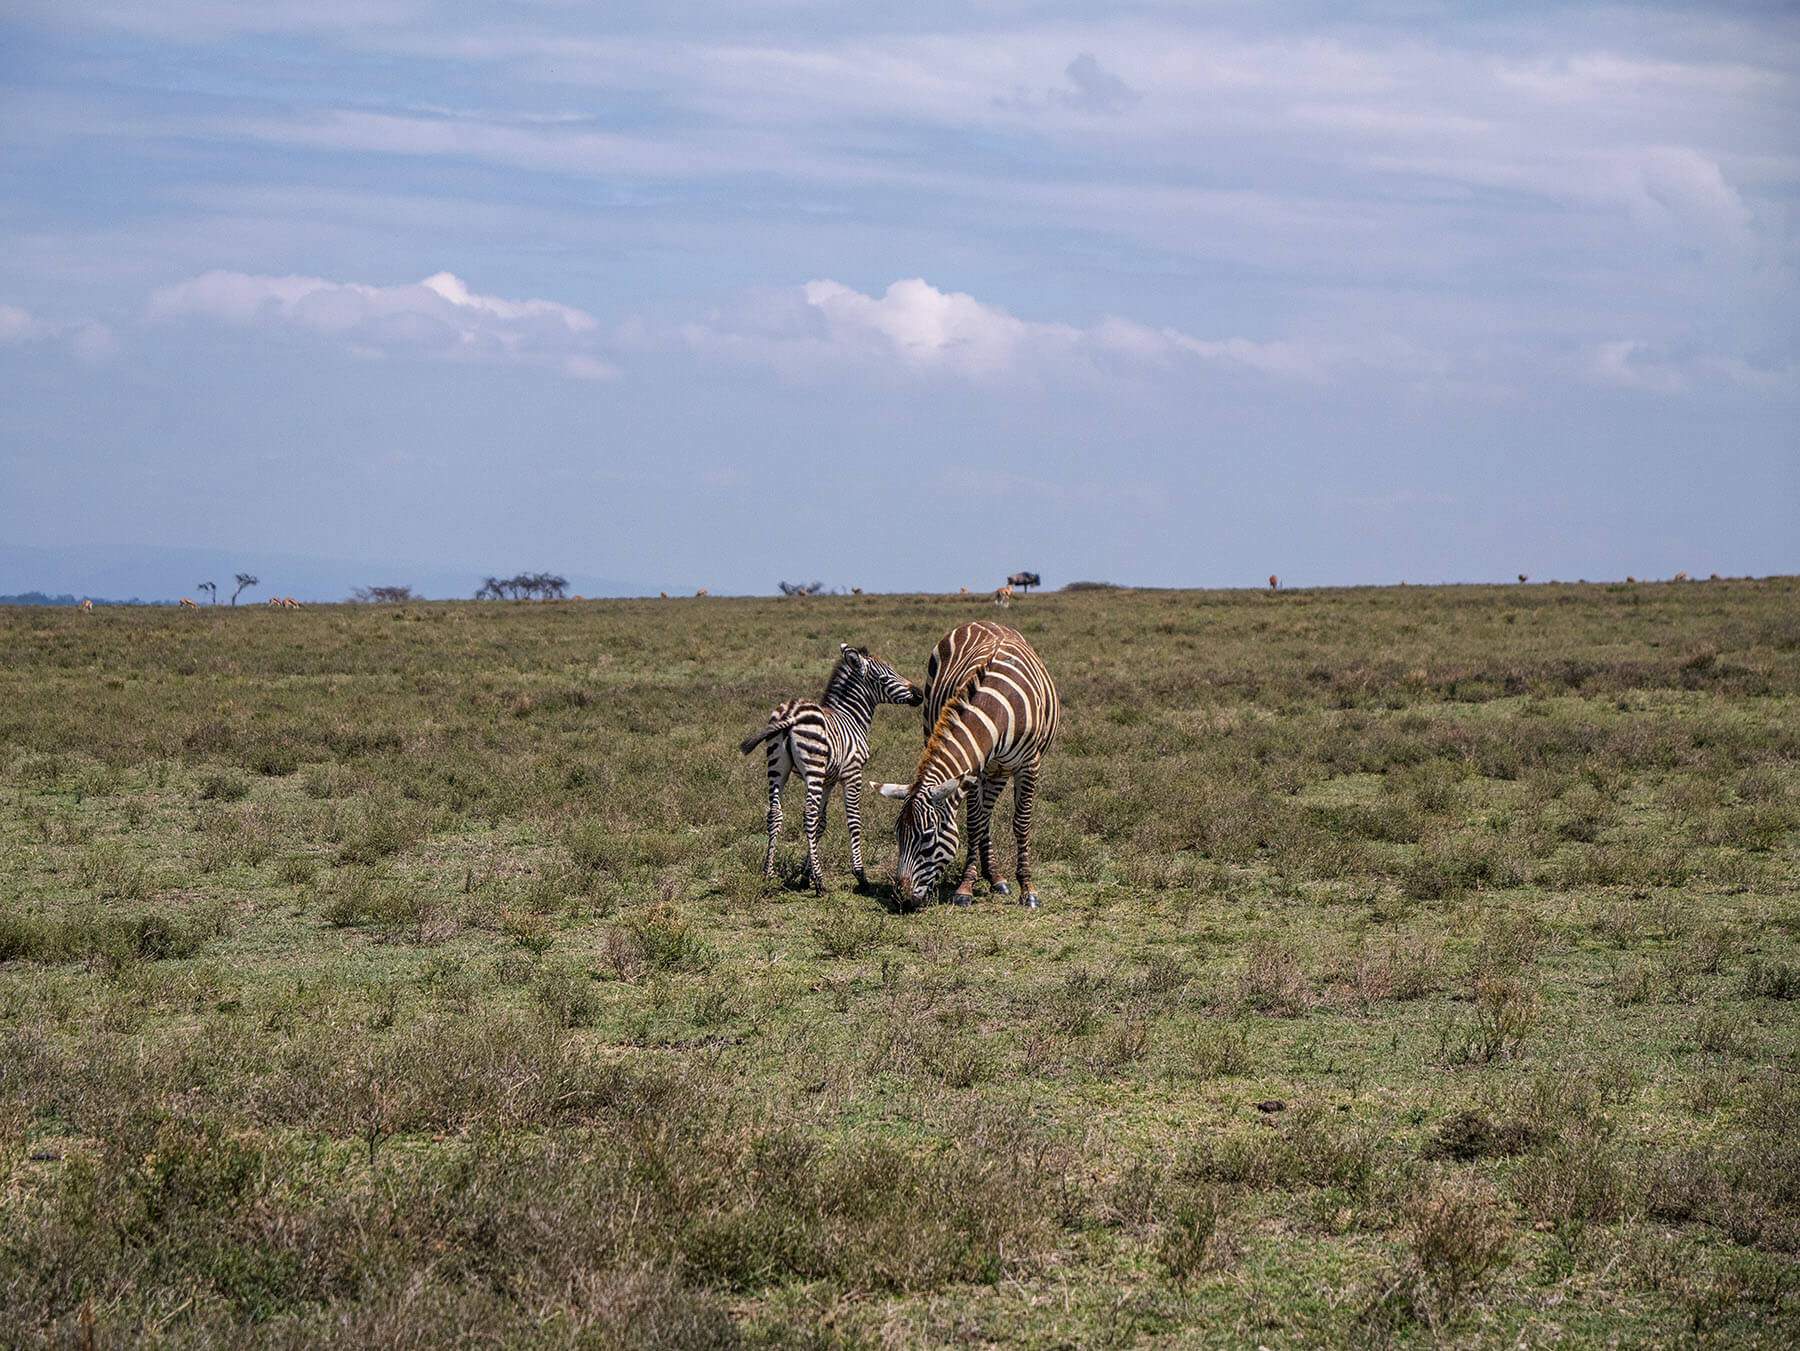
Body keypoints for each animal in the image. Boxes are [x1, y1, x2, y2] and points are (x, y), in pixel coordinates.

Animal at [741, 644, 922, 891]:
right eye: (885, 678)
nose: (920, 694)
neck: (852, 717)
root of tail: (790, 715)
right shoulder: (853, 773)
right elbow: (853, 820)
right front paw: (859, 874)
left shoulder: (829, 779)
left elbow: (821, 822)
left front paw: (805, 874)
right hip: (813, 769)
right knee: (807, 815)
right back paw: (820, 882)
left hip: (777, 769)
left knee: (776, 813)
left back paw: (768, 872)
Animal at [873, 621, 1059, 910]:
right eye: (897, 834)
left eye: (927, 836)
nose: (900, 897)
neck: (996, 709)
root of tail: (980, 622)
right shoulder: (974, 768)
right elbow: (974, 822)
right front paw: (966, 886)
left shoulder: (1029, 764)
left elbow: (1021, 823)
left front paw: (1027, 889)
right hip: (942, 734)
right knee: (984, 815)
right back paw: (993, 875)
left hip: (1001, 769)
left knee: (989, 812)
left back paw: (995, 877)